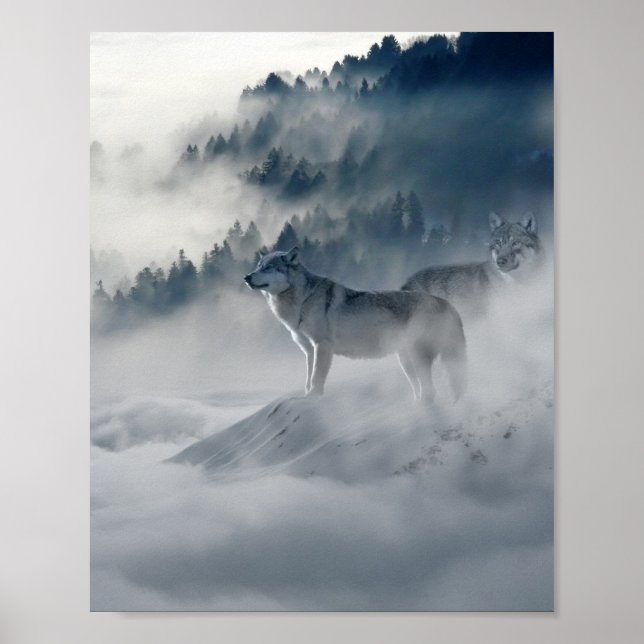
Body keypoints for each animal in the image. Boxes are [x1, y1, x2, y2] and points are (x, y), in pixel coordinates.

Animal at [244, 247, 466, 401]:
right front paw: (306, 396)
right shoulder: (308, 350)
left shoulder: (322, 346)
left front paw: (314, 398)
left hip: (417, 358)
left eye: (268, 267)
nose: (246, 277)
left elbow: (316, 378)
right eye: (258, 266)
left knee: (431, 391)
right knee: (423, 390)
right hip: (406, 362)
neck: (302, 300)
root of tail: (447, 304)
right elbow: (308, 379)